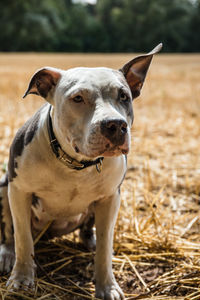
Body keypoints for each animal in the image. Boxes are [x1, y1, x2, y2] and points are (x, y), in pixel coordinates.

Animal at [0, 43, 162, 298]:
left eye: (124, 96)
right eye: (77, 98)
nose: (115, 124)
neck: (74, 164)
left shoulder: (110, 198)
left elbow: (105, 247)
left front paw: (107, 286)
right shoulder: (18, 191)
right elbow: (22, 238)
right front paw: (21, 278)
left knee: (88, 231)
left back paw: (91, 242)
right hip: (3, 187)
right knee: (9, 232)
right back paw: (7, 255)